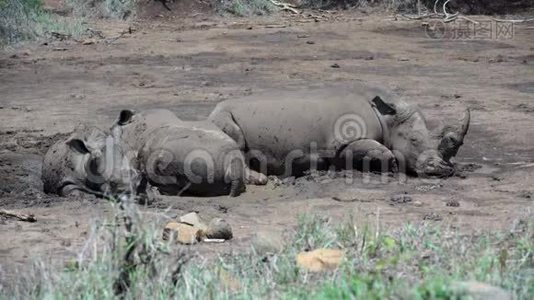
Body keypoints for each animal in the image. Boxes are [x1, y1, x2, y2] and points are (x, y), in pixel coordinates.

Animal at [209, 89, 474, 178]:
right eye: (414, 140)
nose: (443, 170)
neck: (387, 118)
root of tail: (211, 110)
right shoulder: (345, 142)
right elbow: (384, 151)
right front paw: (392, 168)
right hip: (222, 115)